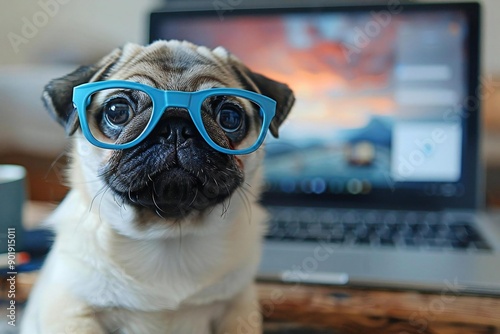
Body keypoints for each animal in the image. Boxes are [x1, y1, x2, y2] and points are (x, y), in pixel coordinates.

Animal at [21, 39, 292, 334]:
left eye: (229, 117)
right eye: (117, 111)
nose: (176, 126)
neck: (168, 236)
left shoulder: (237, 309)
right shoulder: (74, 311)